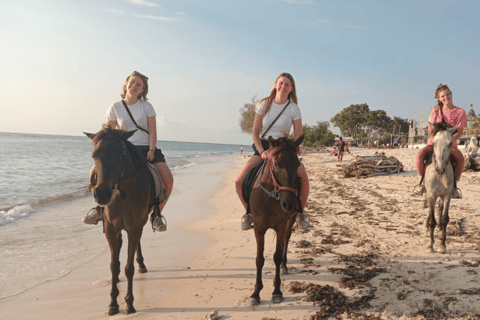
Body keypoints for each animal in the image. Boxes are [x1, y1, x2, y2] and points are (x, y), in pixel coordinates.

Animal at [83, 127, 165, 316]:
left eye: (120, 156)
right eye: (94, 155)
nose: (102, 194)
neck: (122, 194)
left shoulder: (134, 227)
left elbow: (129, 267)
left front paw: (129, 304)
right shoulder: (111, 228)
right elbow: (114, 265)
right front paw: (113, 304)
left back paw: (141, 264)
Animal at [249, 134, 306, 306]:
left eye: (298, 165)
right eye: (277, 164)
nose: (290, 203)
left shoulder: (280, 226)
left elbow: (276, 256)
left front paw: (276, 291)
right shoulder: (259, 228)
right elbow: (259, 259)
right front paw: (256, 293)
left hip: (291, 220)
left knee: (287, 240)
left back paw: (284, 265)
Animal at [426, 124, 460, 254]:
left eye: (450, 143)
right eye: (434, 143)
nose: (440, 169)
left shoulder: (447, 196)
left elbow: (445, 218)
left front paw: (442, 245)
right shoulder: (431, 195)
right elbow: (432, 220)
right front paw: (430, 245)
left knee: (440, 209)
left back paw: (440, 227)